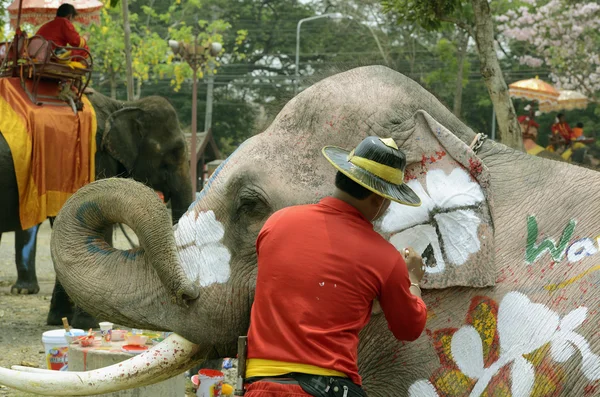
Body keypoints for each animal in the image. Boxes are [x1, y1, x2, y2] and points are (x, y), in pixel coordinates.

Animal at [0, 91, 192, 326]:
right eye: (175, 152)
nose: (188, 297)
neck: (121, 105)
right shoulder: (95, 158)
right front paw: (88, 325)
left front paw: (59, 321)